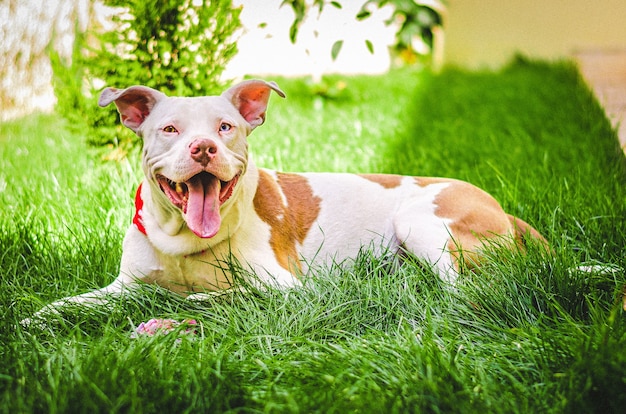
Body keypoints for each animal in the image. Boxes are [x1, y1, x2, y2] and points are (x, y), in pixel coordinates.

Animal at [24, 79, 544, 320]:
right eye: (169, 129)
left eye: (225, 127)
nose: (203, 148)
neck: (184, 241)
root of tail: (505, 211)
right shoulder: (123, 286)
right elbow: (68, 304)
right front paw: (34, 320)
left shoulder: (283, 287)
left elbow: (220, 296)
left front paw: (191, 300)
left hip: (421, 223)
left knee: (461, 290)